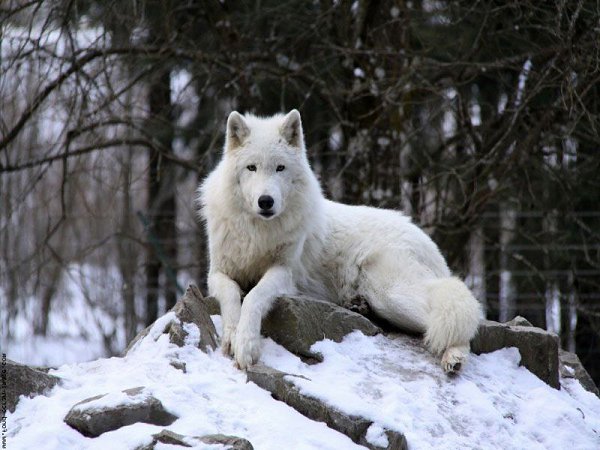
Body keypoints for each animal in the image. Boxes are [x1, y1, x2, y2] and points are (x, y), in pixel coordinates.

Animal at [200, 109, 482, 372]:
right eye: (251, 167)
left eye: (280, 168)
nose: (266, 201)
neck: (258, 232)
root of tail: (430, 244)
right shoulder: (217, 272)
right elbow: (231, 294)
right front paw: (231, 336)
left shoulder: (284, 272)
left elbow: (254, 296)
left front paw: (246, 344)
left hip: (390, 294)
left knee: (457, 316)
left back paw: (454, 357)